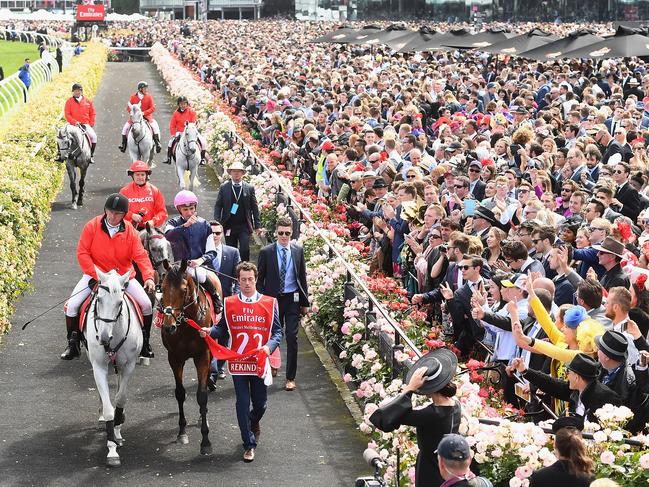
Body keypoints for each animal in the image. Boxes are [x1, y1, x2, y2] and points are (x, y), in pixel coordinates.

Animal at [84, 268, 142, 468]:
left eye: (119, 303)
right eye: (99, 300)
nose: (103, 338)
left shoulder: (130, 365)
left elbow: (121, 398)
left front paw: (117, 431)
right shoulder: (99, 366)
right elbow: (109, 407)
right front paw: (112, 450)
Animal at [158, 262, 221, 456]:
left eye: (183, 289)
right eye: (162, 288)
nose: (168, 326)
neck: (185, 324)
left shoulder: (202, 356)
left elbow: (201, 395)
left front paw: (206, 441)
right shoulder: (174, 358)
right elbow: (180, 393)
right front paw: (182, 432)